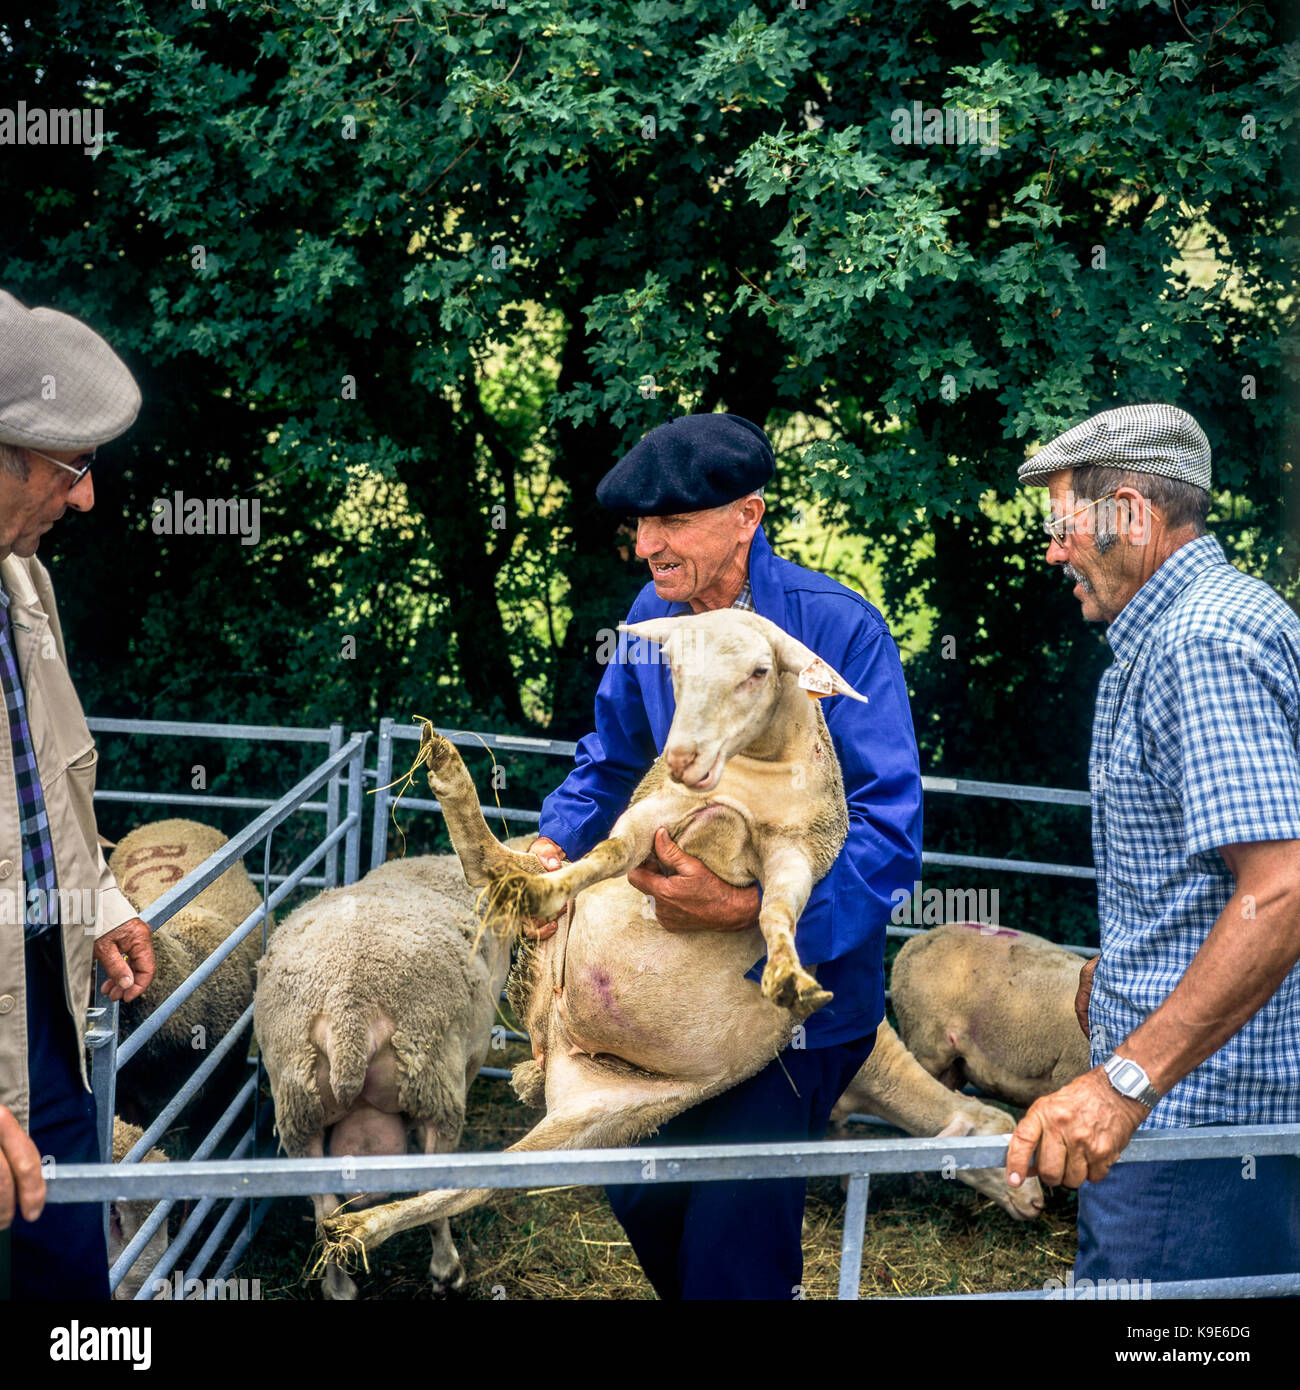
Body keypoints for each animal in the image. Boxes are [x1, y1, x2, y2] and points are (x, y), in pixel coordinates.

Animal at [318, 614, 862, 1267]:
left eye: (759, 672)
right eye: (674, 667)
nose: (682, 757)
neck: (744, 785)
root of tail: (551, 1050)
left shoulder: (800, 854)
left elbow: (779, 912)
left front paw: (790, 979)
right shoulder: (655, 813)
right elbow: (610, 853)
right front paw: (552, 891)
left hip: (608, 1118)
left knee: (476, 1186)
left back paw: (358, 1228)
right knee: (498, 867)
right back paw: (459, 784)